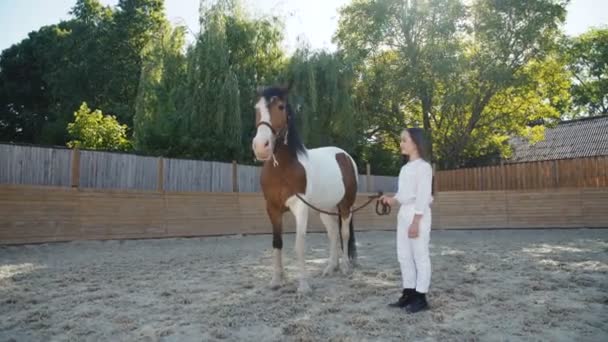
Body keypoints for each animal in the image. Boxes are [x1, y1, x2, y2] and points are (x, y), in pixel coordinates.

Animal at [249, 83, 358, 294]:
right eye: (257, 108)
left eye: (281, 107)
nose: (261, 146)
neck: (282, 168)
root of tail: (345, 156)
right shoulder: (272, 209)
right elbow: (277, 243)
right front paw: (276, 281)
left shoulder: (300, 208)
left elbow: (300, 245)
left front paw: (304, 286)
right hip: (326, 210)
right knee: (333, 234)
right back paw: (330, 268)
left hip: (345, 206)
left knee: (344, 233)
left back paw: (345, 267)